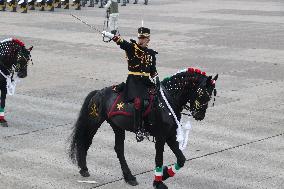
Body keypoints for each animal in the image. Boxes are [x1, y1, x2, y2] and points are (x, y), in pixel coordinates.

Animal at [68, 67, 217, 188]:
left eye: (210, 96)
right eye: (202, 93)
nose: (199, 115)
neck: (167, 101)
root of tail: (98, 92)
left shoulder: (170, 135)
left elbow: (181, 159)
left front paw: (165, 174)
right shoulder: (161, 137)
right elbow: (159, 158)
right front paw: (158, 182)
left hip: (117, 126)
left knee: (119, 149)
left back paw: (129, 177)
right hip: (95, 121)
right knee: (85, 142)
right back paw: (84, 168)